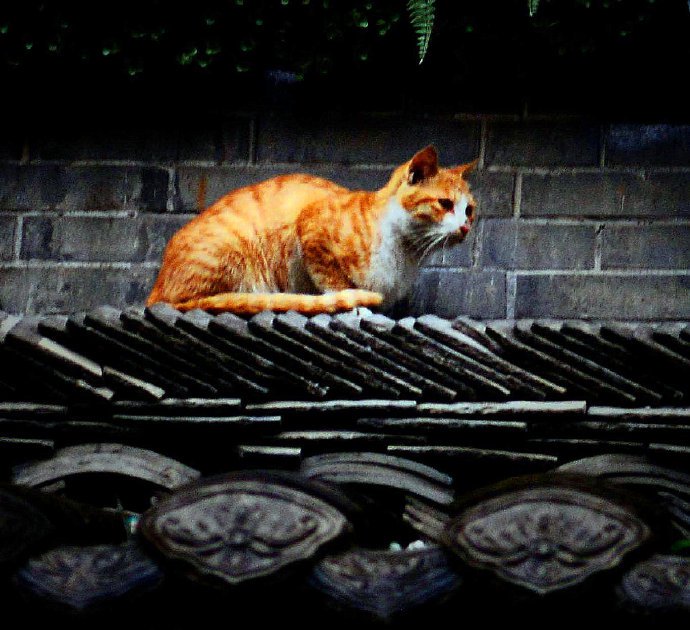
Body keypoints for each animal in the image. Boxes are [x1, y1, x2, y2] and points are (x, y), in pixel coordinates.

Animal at [147, 147, 476, 316]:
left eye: (469, 210)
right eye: (445, 204)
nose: (465, 226)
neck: (405, 253)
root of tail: (157, 289)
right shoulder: (310, 225)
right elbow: (333, 282)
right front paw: (353, 302)